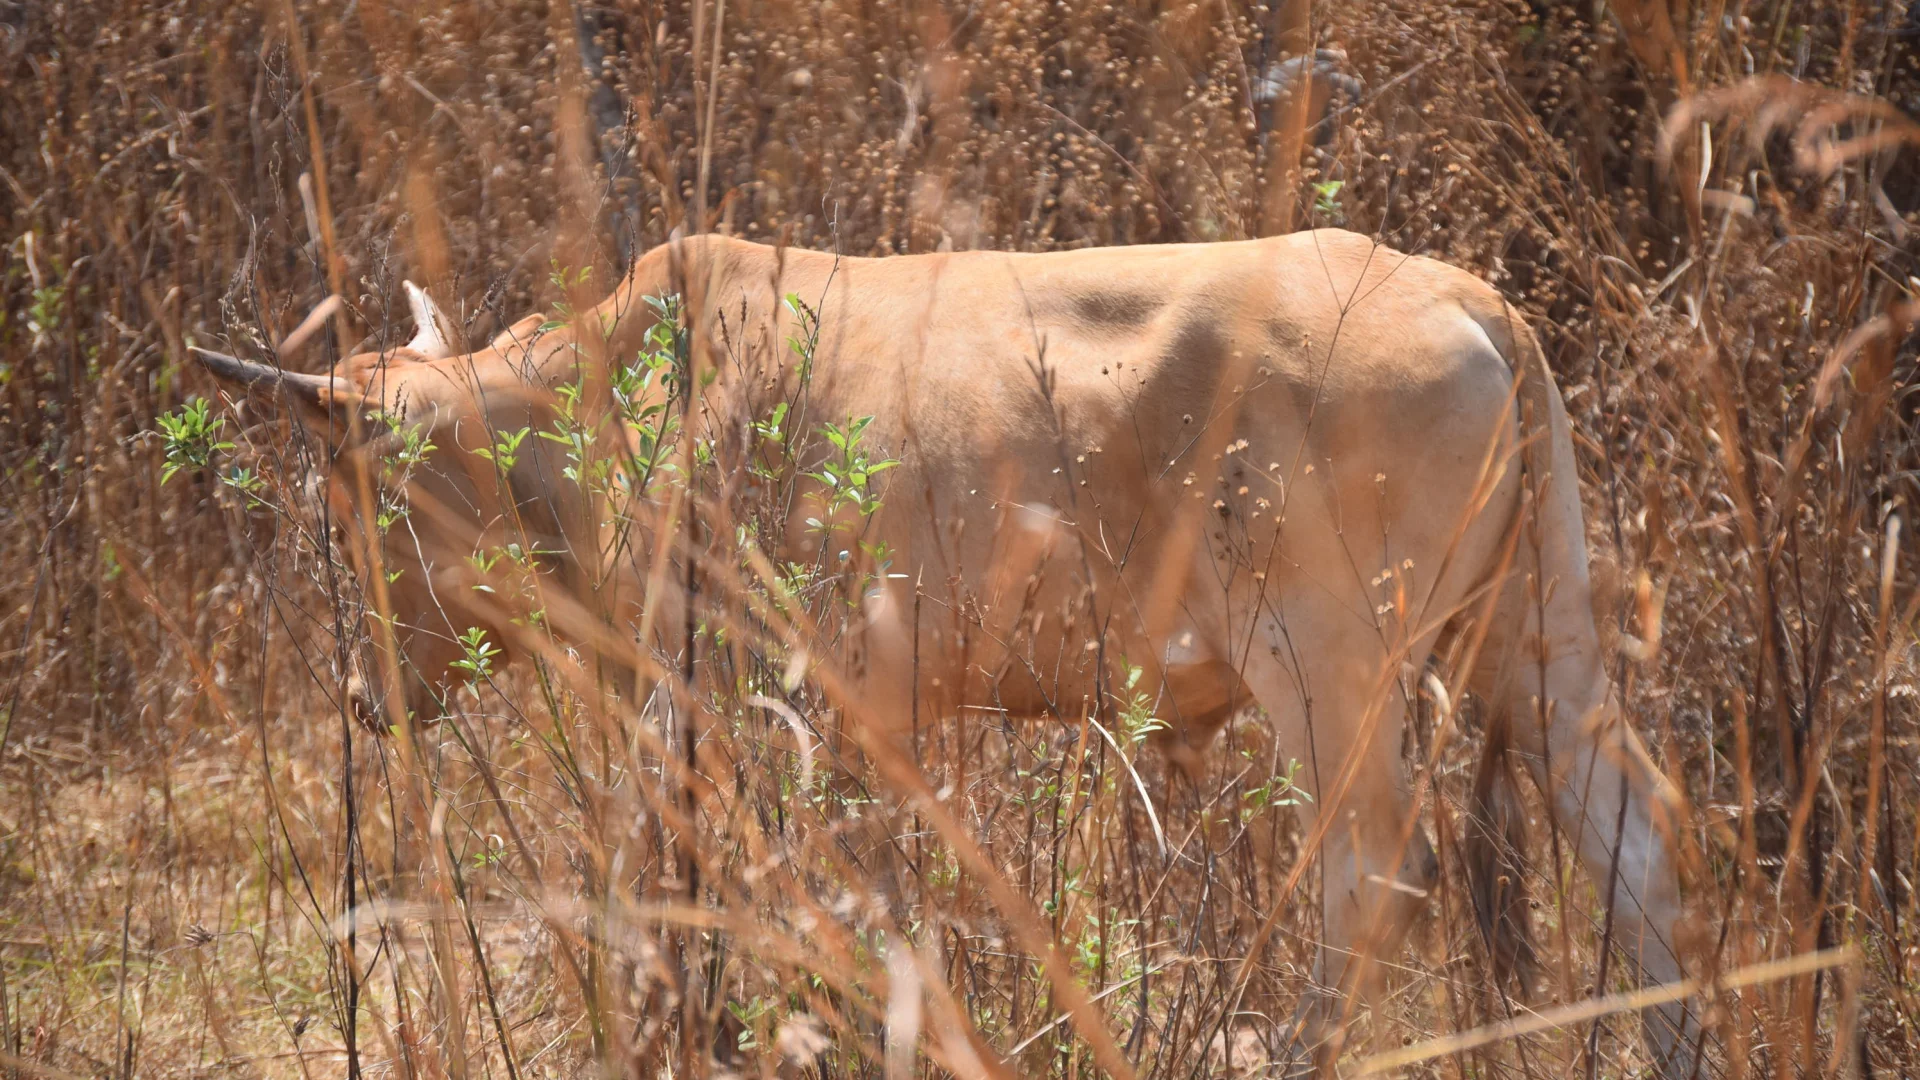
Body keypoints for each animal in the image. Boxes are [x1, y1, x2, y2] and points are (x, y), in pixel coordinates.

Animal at [195, 228, 1696, 1076]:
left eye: (353, 496)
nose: (363, 693)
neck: (624, 399)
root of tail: (1471, 298)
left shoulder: (762, 710)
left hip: (1331, 676)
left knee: (1378, 877)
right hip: (1537, 650)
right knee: (1635, 847)